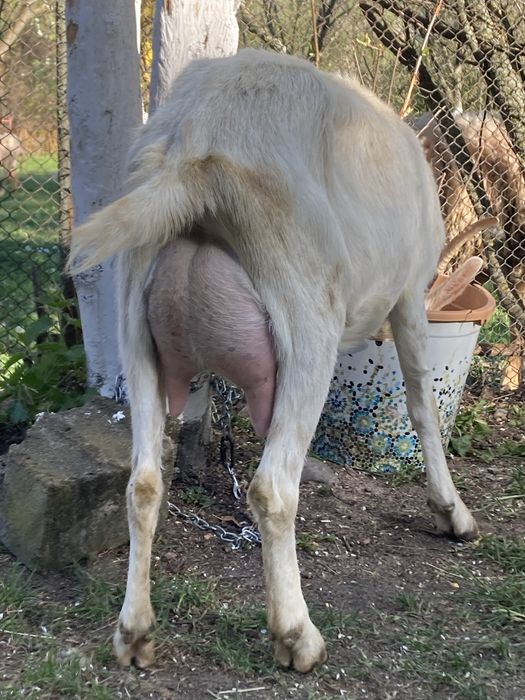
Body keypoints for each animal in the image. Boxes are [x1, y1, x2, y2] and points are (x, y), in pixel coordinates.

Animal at [68, 49, 477, 673]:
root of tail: (199, 139)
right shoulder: (409, 294)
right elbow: (422, 404)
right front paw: (450, 511)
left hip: (135, 321)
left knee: (143, 483)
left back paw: (135, 633)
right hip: (308, 317)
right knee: (271, 490)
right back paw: (296, 634)